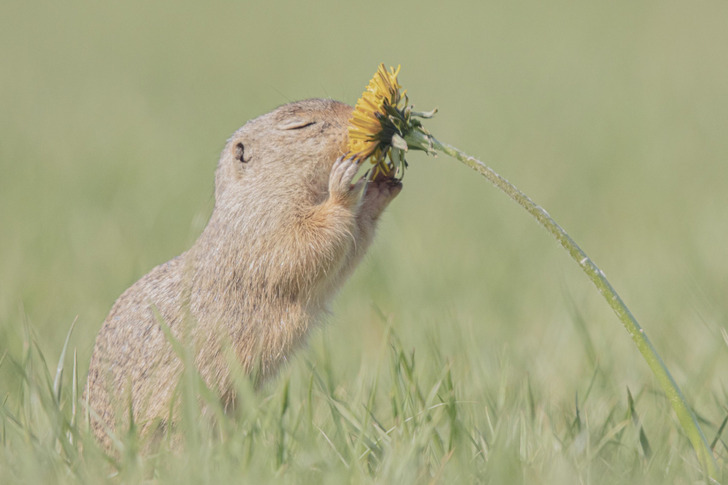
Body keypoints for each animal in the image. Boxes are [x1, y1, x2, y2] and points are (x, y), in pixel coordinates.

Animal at [84, 98, 402, 449]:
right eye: (301, 125)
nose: (378, 117)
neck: (257, 194)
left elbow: (347, 248)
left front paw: (381, 185)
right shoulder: (262, 228)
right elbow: (304, 246)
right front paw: (343, 186)